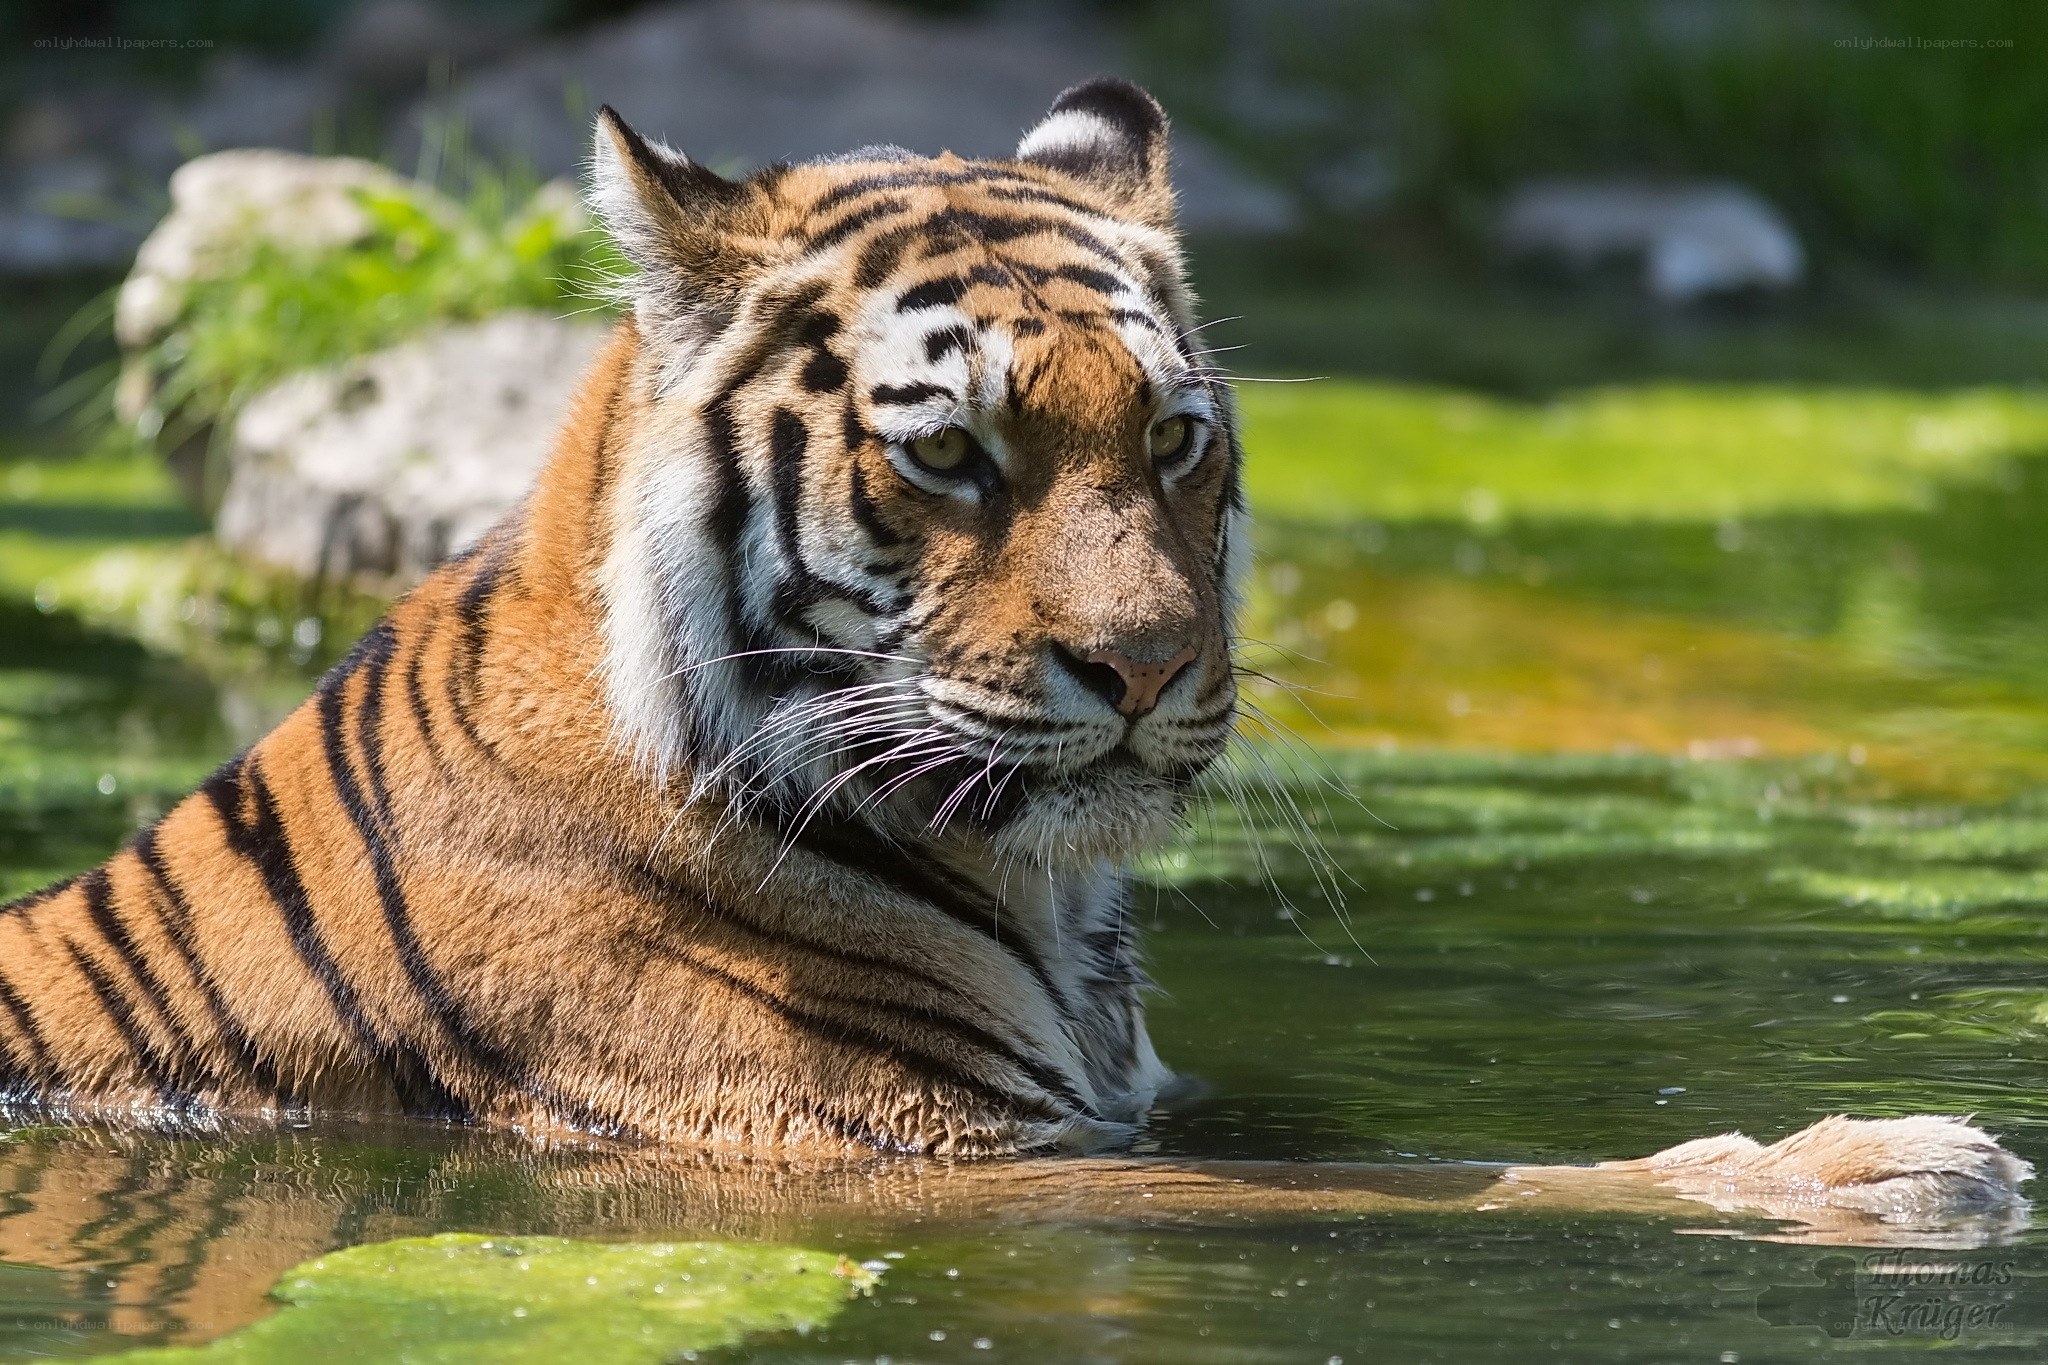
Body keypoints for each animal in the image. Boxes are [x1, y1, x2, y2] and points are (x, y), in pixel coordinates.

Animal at [0, 79, 2026, 1222]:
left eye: (1175, 440)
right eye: (951, 454)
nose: (1143, 669)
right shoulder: (932, 1154)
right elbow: (1473, 1181)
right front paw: (1894, 1166)